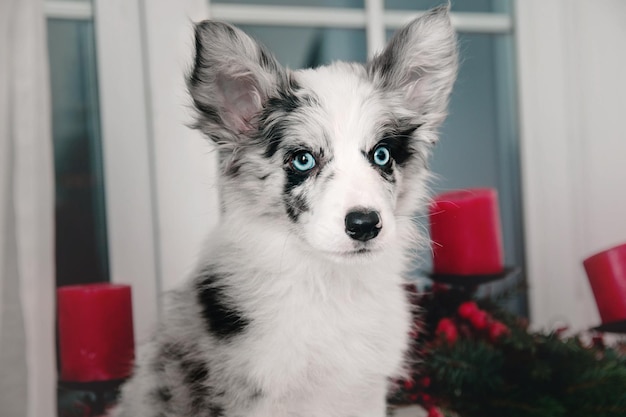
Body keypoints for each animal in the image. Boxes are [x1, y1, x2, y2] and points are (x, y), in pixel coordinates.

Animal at [111, 5, 454, 416]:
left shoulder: (366, 392)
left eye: (382, 154)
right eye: (303, 159)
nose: (365, 224)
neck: (328, 284)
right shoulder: (255, 395)